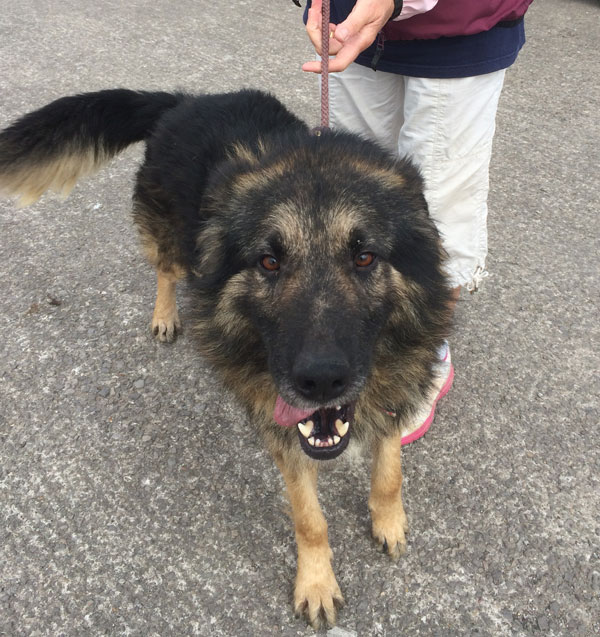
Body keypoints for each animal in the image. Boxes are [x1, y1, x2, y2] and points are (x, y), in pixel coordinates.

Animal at [0, 89, 450, 628]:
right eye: (269, 262)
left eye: (364, 257)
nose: (320, 381)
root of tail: (186, 99)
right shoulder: (283, 434)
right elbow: (310, 520)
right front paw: (316, 582)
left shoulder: (393, 392)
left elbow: (389, 472)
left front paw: (388, 521)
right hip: (172, 241)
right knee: (166, 271)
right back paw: (166, 315)